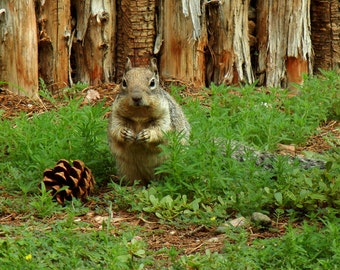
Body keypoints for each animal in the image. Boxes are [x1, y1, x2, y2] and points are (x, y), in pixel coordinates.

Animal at [107, 58, 190, 186]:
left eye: (152, 83)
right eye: (124, 82)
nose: (136, 97)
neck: (139, 115)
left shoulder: (165, 116)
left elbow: (161, 131)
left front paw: (146, 135)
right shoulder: (117, 115)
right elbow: (115, 128)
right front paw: (124, 133)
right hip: (127, 168)